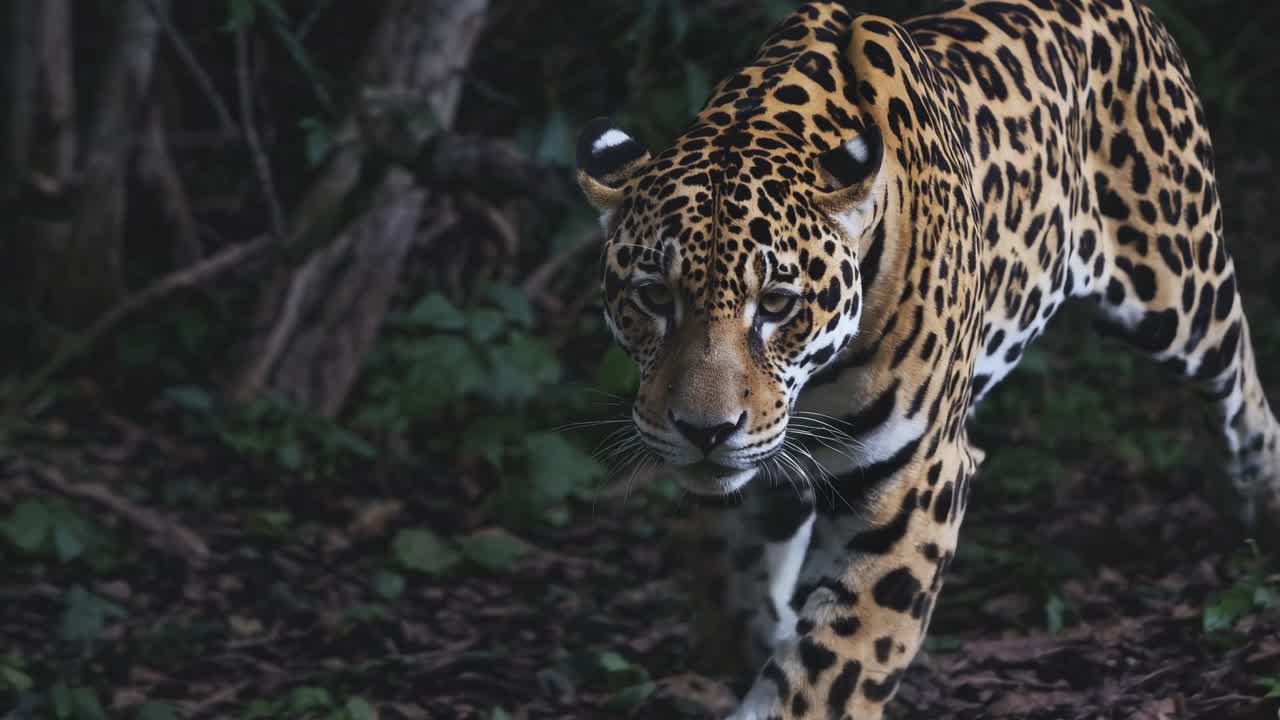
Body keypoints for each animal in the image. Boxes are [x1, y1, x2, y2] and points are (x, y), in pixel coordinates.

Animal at [573, 1, 1280, 717]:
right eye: (654, 296)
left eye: (775, 304)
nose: (705, 432)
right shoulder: (766, 476)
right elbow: (739, 598)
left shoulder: (913, 483)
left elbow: (827, 672)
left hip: (1180, 281)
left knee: (1236, 378)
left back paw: (1255, 499)